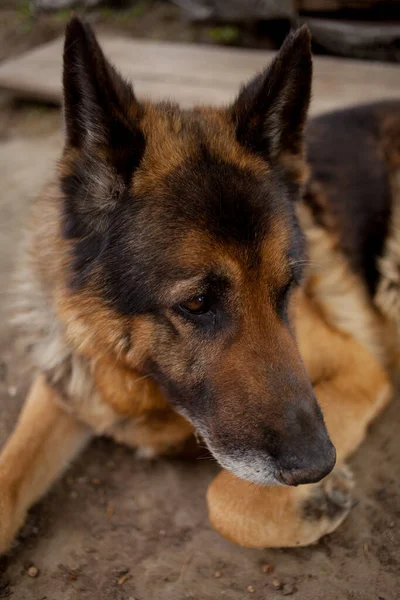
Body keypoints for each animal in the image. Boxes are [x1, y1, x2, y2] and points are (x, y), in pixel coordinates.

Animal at [0, 18, 400, 552]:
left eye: (288, 288)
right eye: (197, 303)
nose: (320, 464)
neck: (139, 378)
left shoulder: (357, 368)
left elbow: (224, 498)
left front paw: (313, 500)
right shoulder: (68, 383)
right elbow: (8, 477)